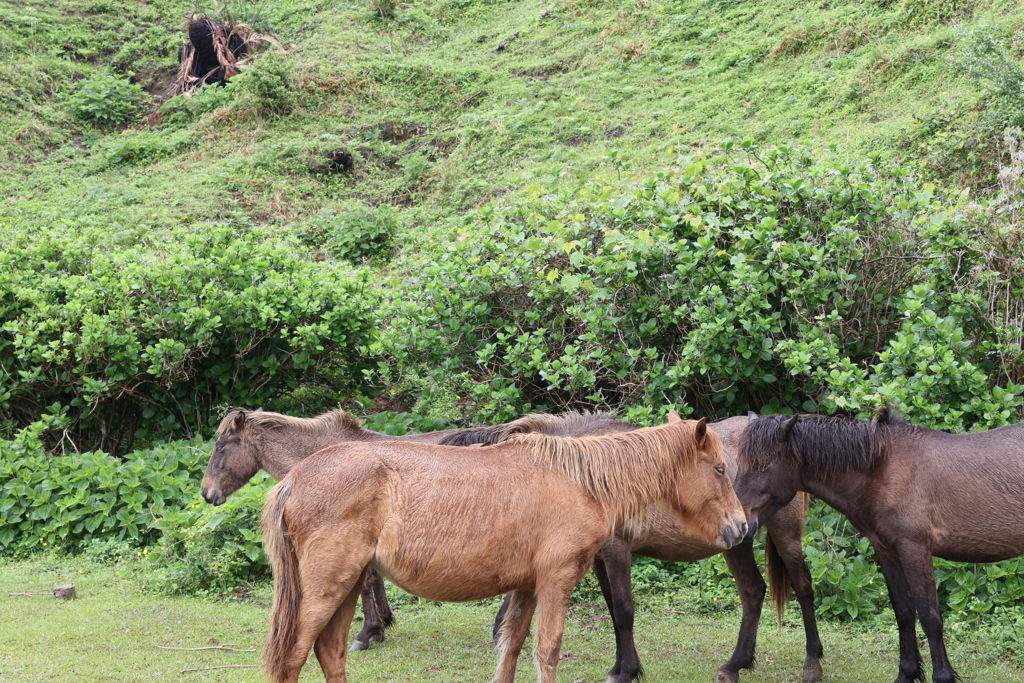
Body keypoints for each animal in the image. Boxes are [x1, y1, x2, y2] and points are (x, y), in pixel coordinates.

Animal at [199, 409, 479, 651]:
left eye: (220, 447)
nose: (206, 492)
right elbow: (376, 579)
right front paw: (383, 622)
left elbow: (366, 583)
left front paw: (368, 632)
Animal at [260, 417, 749, 683]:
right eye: (719, 469)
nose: (742, 526)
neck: (580, 481)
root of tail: (296, 478)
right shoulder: (555, 582)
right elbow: (546, 650)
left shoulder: (526, 588)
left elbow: (511, 649)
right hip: (327, 589)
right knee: (293, 656)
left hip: (347, 587)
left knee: (330, 652)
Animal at [444, 411, 827, 683]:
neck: (591, 472)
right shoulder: (599, 557)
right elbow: (615, 610)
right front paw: (627, 666)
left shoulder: (617, 550)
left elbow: (624, 610)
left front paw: (624, 671)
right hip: (737, 542)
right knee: (752, 592)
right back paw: (735, 664)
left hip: (784, 535)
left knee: (803, 588)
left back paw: (811, 663)